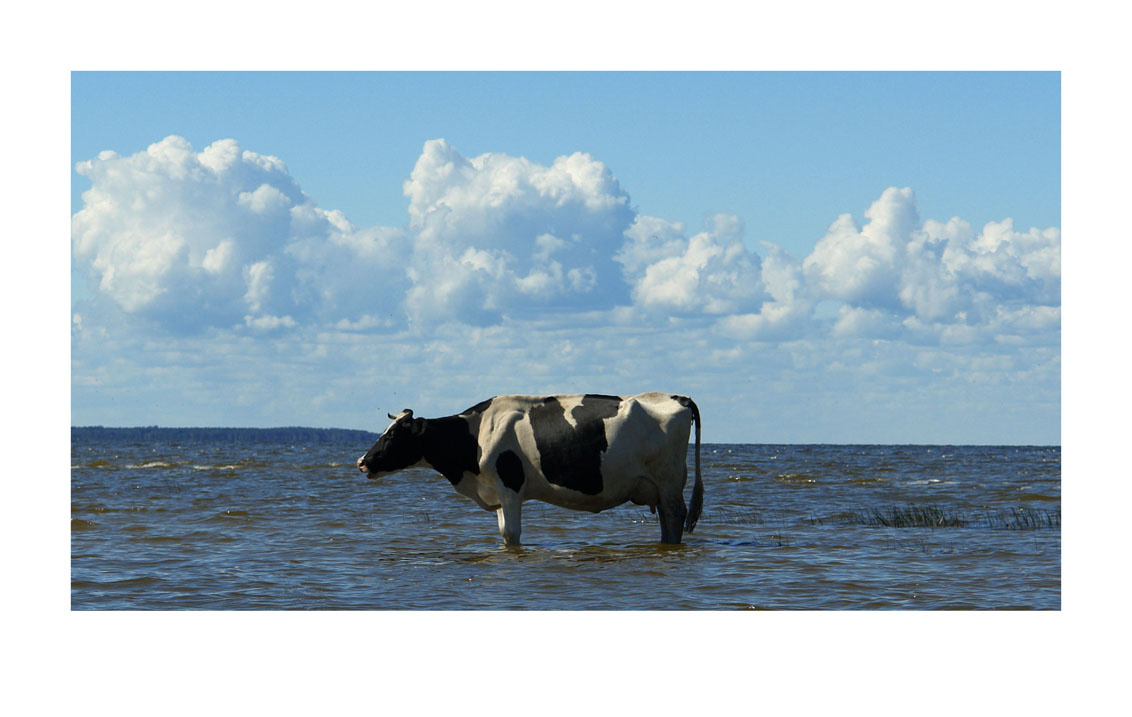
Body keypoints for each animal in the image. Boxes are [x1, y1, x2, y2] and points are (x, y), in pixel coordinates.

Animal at [356, 393, 702, 546]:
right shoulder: (496, 491)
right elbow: (502, 532)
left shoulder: (510, 488)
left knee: (674, 520)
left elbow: (512, 534)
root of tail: (677, 397)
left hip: (669, 483)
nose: (361, 462)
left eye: (393, 436)